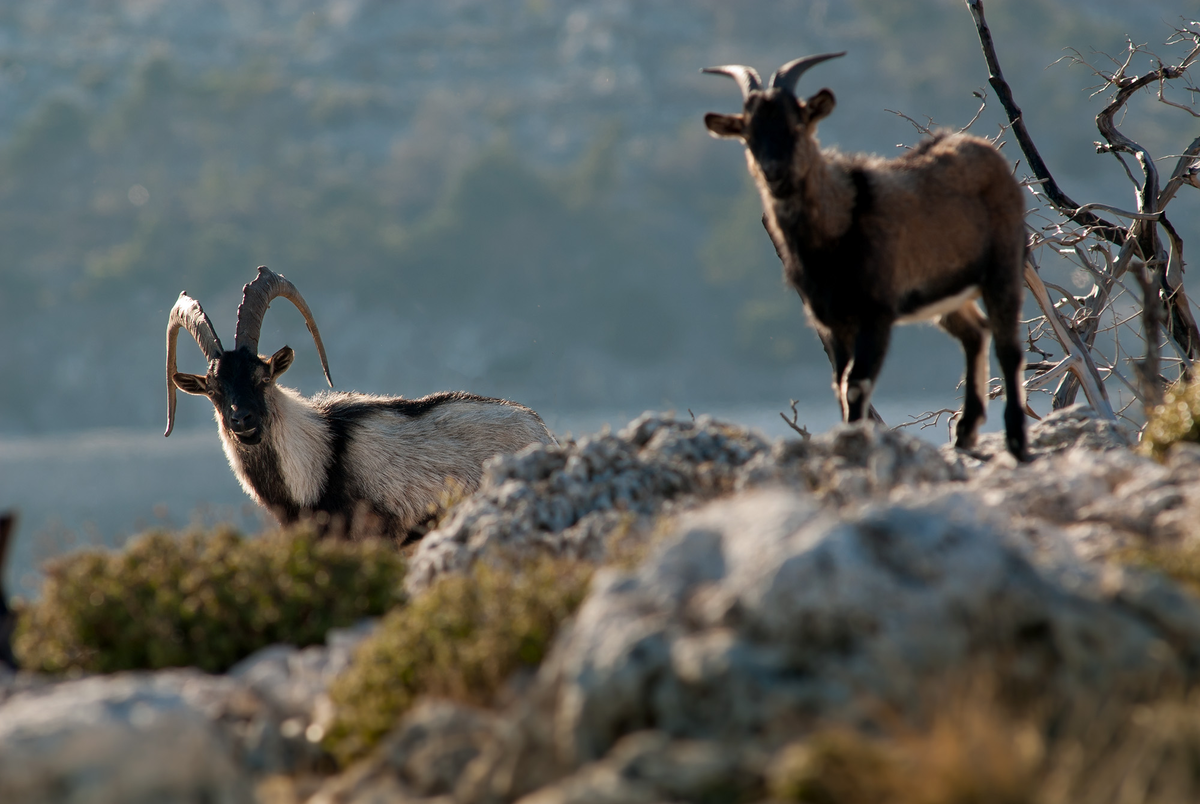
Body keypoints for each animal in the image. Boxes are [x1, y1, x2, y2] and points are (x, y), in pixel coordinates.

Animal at [700, 53, 1032, 463]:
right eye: (748, 132)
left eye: (797, 124)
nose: (773, 172)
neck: (838, 224)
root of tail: (988, 152)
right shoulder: (833, 321)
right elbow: (840, 384)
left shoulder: (876, 312)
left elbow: (856, 384)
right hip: (947, 293)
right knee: (975, 333)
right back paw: (966, 433)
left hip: (1004, 265)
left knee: (1008, 346)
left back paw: (1016, 441)